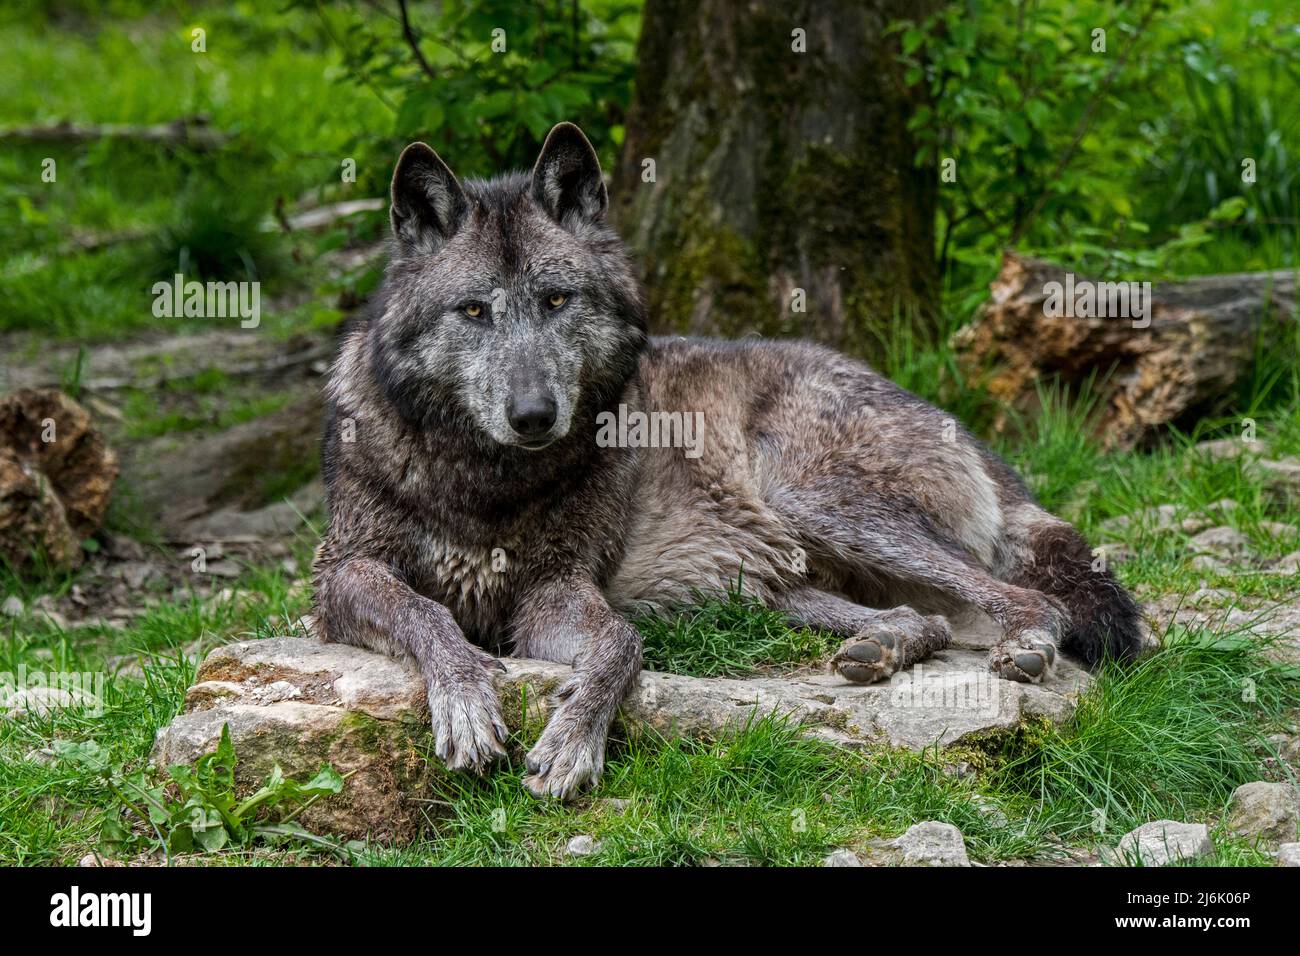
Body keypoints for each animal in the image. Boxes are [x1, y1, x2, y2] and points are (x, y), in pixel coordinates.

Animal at [313, 122, 1143, 800]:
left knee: (1030, 600)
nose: (533, 415)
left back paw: (1023, 643)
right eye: (474, 311)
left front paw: (574, 742)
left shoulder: (554, 589)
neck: (484, 482)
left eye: (555, 300)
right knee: (924, 618)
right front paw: (466, 701)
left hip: (812, 502)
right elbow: (427, 613)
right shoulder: (341, 576)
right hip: (763, 588)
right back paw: (882, 647)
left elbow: (621, 643)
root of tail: (963, 430)